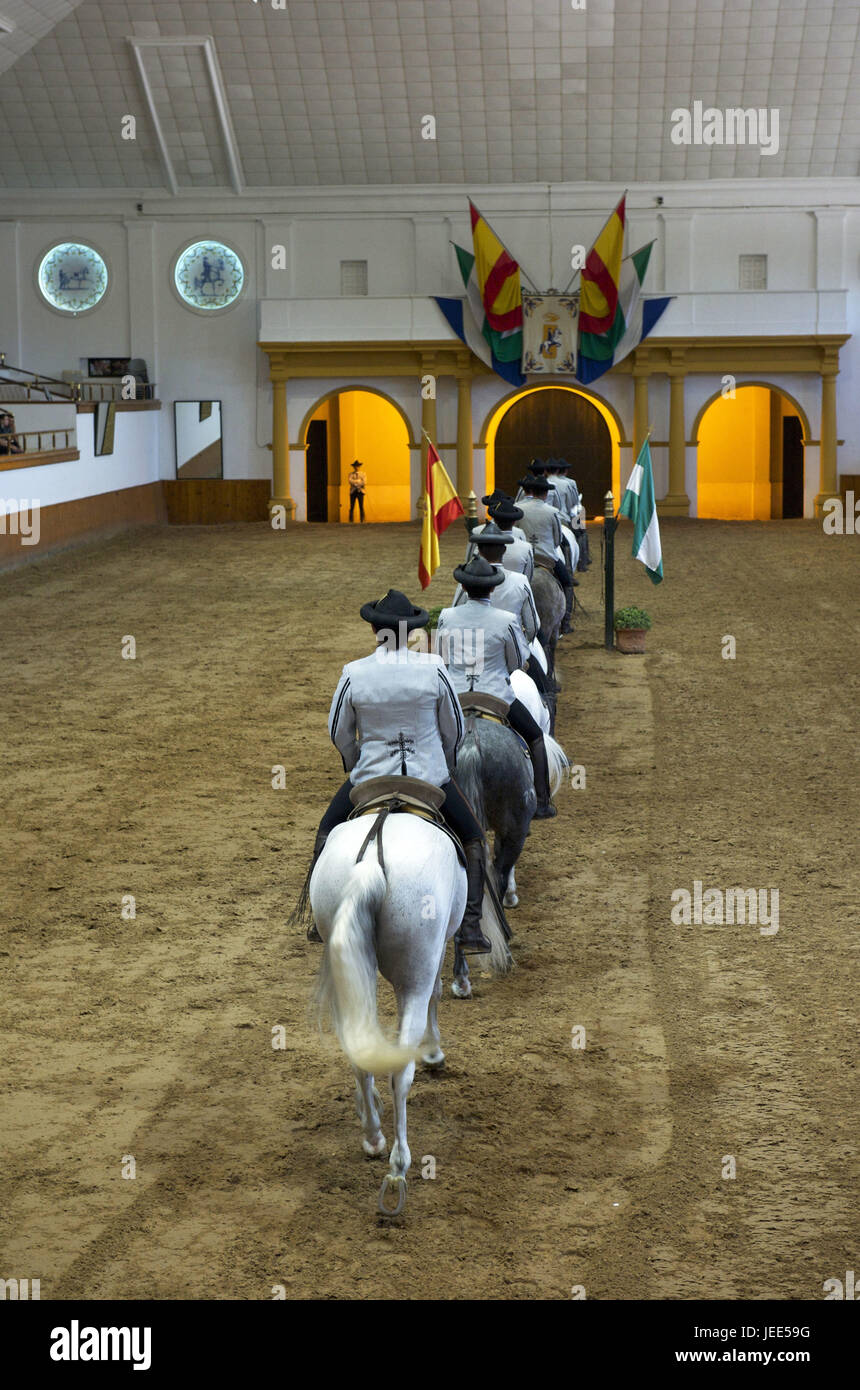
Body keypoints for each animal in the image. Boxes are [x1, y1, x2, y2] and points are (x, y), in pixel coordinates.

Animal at [311, 811, 508, 1217]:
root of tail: (372, 862)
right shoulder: (436, 952)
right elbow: (437, 992)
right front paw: (434, 1052)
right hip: (415, 971)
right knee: (401, 1071)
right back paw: (398, 1168)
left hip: (350, 966)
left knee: (358, 1051)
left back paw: (373, 1135)